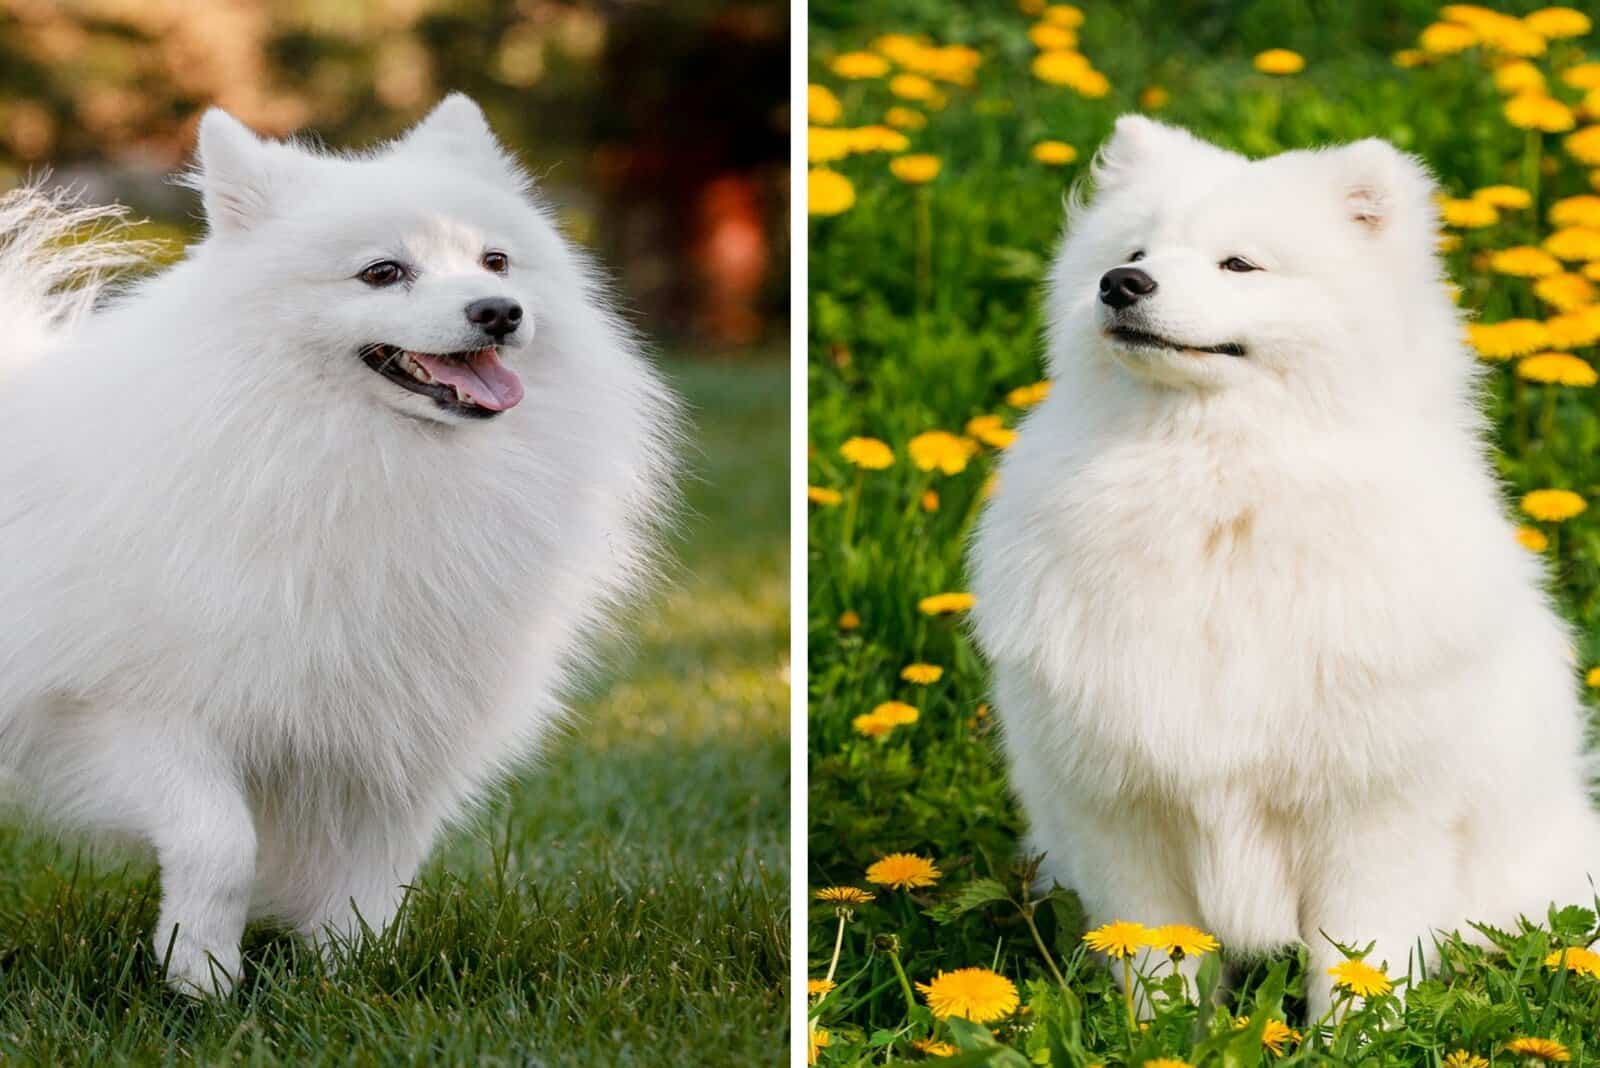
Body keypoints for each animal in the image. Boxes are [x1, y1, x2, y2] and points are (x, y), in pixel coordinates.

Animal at [0, 95, 675, 997]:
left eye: (495, 261)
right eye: (383, 273)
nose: (498, 310)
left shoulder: (391, 728)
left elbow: (374, 880)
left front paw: (345, 981)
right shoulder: (123, 711)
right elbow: (221, 846)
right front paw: (202, 978)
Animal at [966, 115, 1600, 1010]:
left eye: (1239, 263)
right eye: (1135, 249)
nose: (1122, 284)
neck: (1216, 490)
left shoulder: (1371, 816)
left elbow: (1358, 965)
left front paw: (1352, 1035)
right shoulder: (1124, 808)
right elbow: (1156, 960)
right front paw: (1157, 1031)